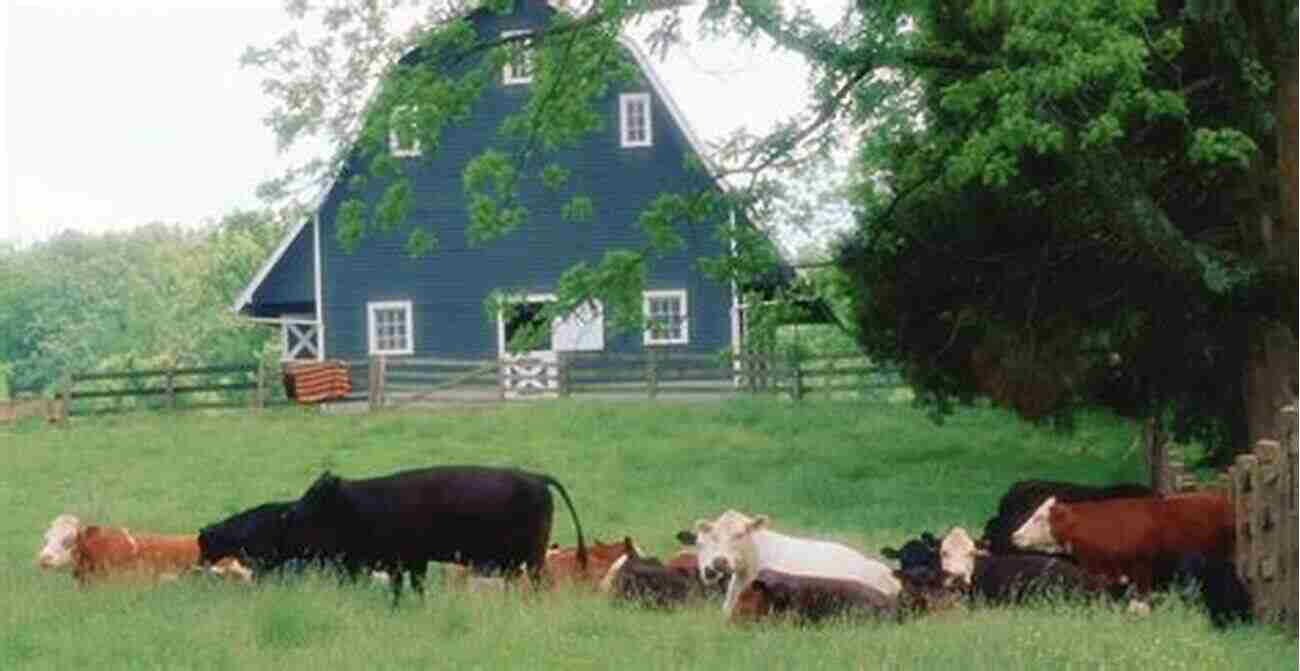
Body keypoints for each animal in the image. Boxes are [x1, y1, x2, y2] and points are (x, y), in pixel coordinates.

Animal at [200, 465, 587, 603]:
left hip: (531, 560)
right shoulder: (404, 563)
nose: (289, 513)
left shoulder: (401, 561)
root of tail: (535, 477)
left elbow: (407, 587)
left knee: (536, 583)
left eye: (312, 507)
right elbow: (409, 588)